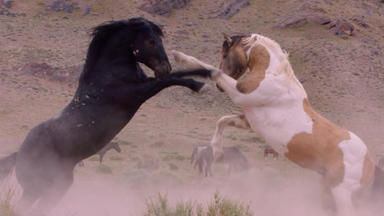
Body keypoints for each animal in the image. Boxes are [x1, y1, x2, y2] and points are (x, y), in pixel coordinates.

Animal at [0, 17, 210, 216]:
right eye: (150, 40)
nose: (164, 67)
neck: (108, 73)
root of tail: (19, 155)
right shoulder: (139, 92)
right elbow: (169, 80)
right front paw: (199, 86)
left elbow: (180, 73)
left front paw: (207, 72)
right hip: (40, 189)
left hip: (55, 187)